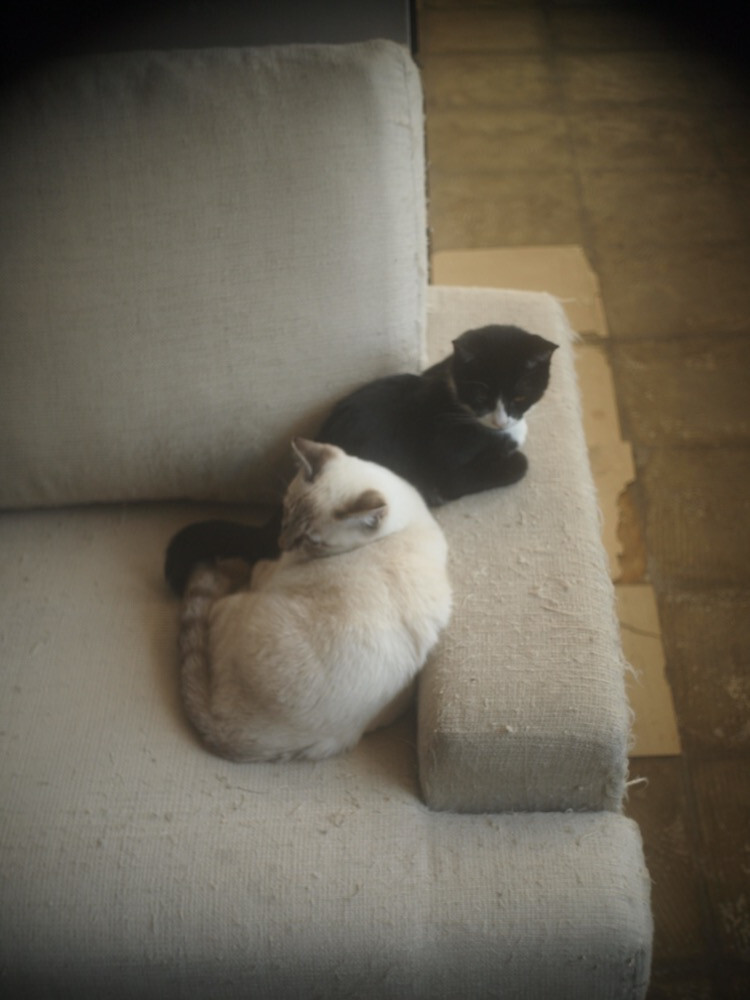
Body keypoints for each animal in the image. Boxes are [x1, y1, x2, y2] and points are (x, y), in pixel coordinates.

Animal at [165, 324, 557, 594]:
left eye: (520, 395)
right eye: (481, 395)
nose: (502, 420)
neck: (458, 403)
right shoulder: (449, 464)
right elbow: (517, 464)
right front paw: (513, 455)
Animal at [178, 437, 452, 762]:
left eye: (311, 541)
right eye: (285, 514)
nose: (282, 545)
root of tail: (230, 733)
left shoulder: (271, 573)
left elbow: (260, 569)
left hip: (233, 605)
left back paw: (227, 566)